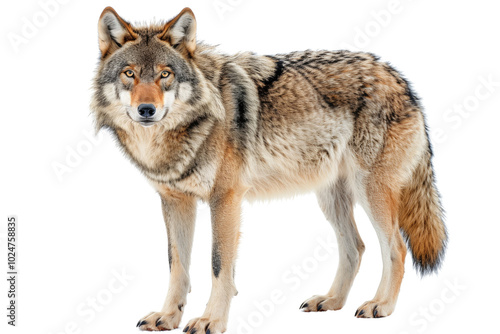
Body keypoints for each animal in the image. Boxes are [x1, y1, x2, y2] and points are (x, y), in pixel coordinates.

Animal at [92, 6, 448, 332]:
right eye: (129, 74)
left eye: (165, 74)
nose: (146, 110)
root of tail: (400, 78)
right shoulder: (175, 201)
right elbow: (177, 265)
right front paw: (168, 316)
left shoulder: (226, 199)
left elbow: (219, 266)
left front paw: (211, 320)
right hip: (331, 198)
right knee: (355, 247)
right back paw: (331, 301)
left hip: (370, 191)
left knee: (396, 248)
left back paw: (381, 305)